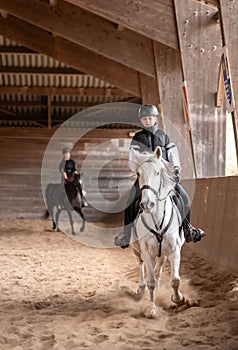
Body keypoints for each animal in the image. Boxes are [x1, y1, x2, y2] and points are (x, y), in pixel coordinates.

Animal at [129, 146, 185, 318]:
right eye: (138, 174)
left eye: (158, 172)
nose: (147, 204)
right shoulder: (147, 251)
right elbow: (151, 282)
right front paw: (152, 308)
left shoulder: (174, 250)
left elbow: (175, 280)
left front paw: (178, 298)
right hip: (136, 248)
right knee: (141, 265)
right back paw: (141, 288)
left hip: (163, 253)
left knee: (158, 269)